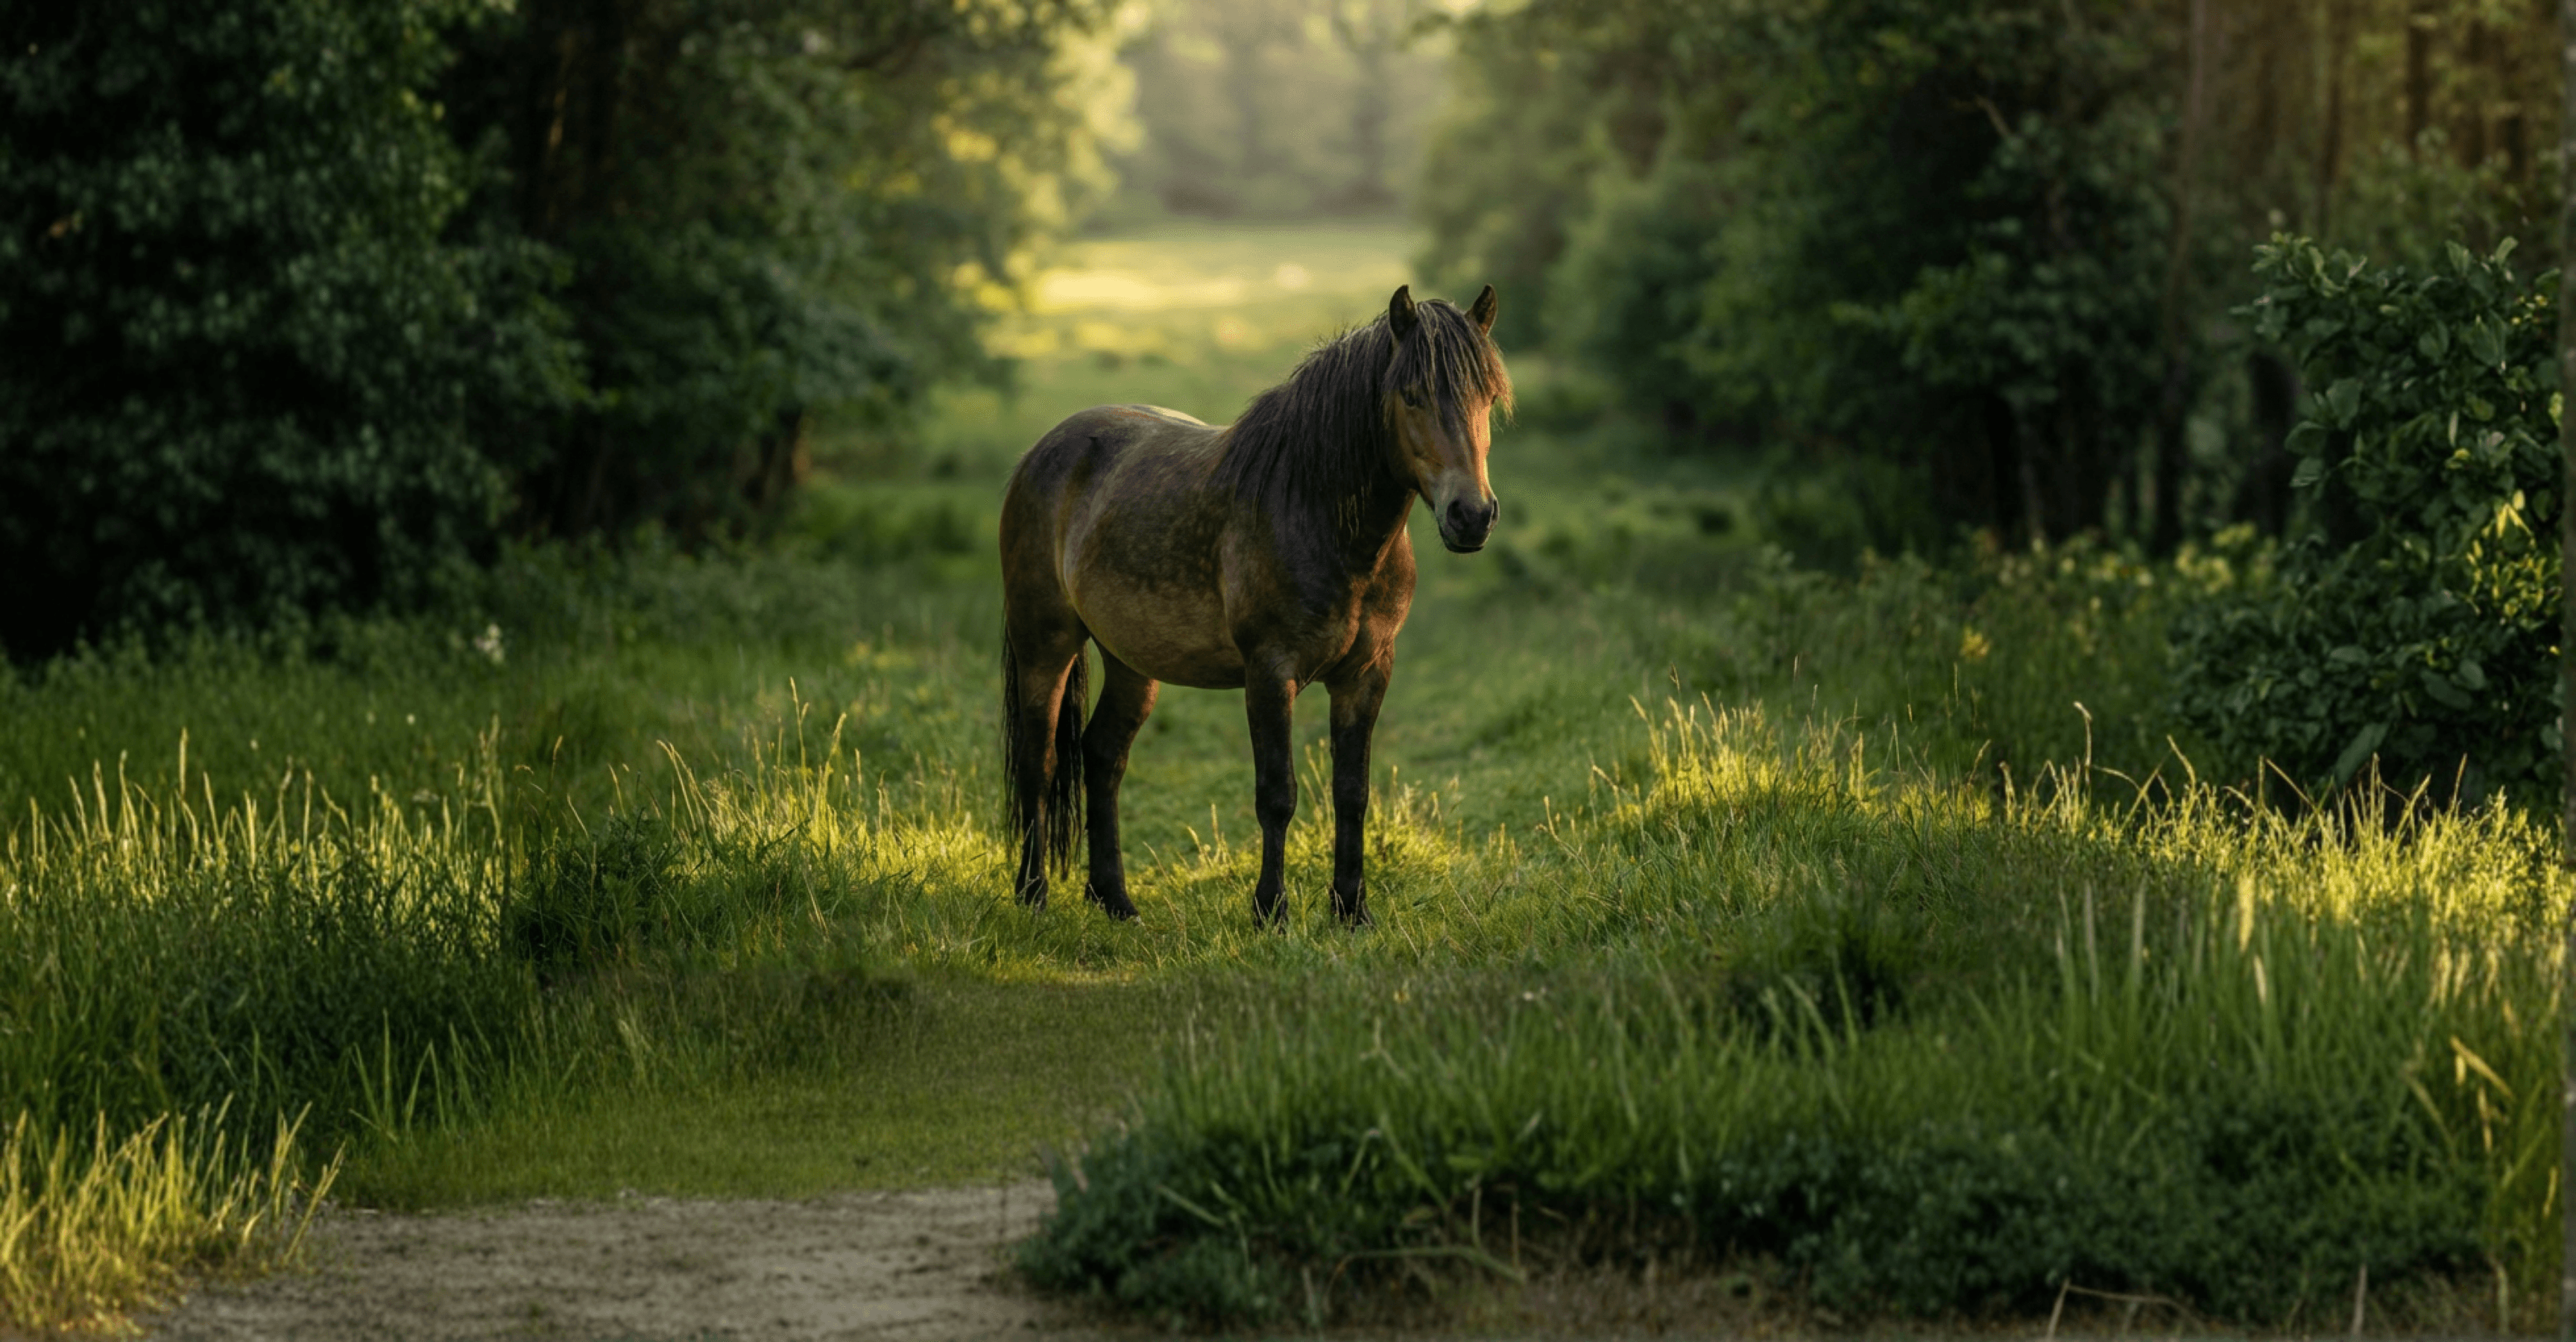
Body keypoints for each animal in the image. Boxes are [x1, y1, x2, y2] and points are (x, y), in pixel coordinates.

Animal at [998, 283, 1511, 925]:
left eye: (1488, 396)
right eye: (1412, 396)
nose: (1472, 515)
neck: (1318, 513)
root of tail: (1042, 453)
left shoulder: (1367, 673)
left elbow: (1353, 791)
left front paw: (1351, 909)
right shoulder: (1271, 672)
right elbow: (1277, 794)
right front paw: (1272, 911)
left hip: (1130, 661)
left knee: (1103, 754)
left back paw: (1115, 899)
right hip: (1045, 644)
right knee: (1039, 763)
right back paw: (1033, 895)